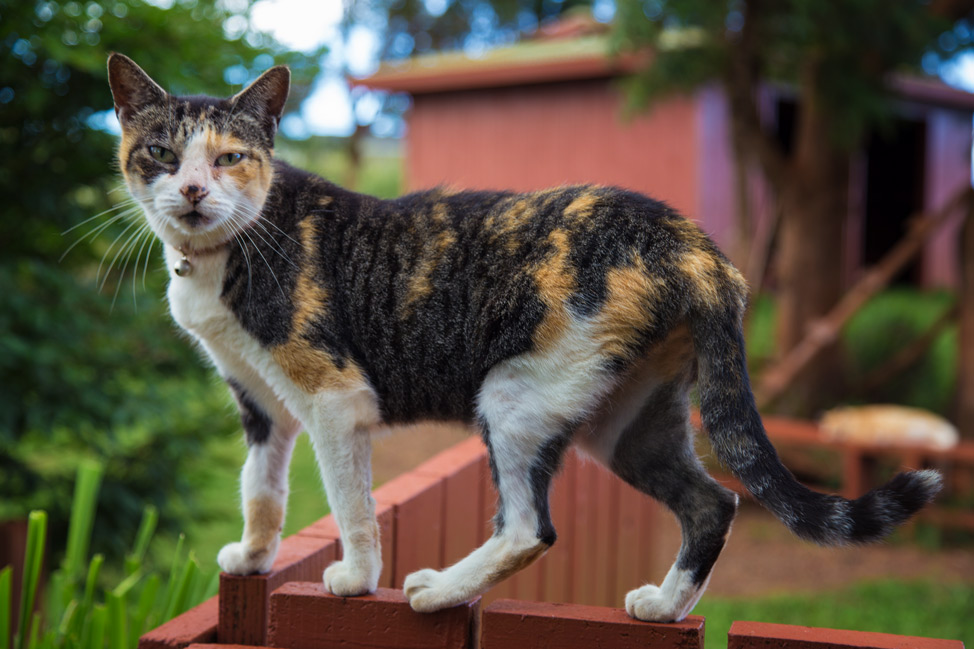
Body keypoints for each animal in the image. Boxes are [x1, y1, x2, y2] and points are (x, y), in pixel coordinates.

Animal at [108, 53, 944, 620]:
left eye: (231, 158)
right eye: (160, 153)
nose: (193, 190)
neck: (222, 258)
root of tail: (694, 243)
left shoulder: (333, 398)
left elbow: (351, 503)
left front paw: (355, 578)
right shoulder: (262, 403)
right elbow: (261, 488)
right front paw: (253, 558)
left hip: (514, 396)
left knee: (529, 527)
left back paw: (438, 589)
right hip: (626, 421)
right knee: (714, 502)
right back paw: (664, 605)